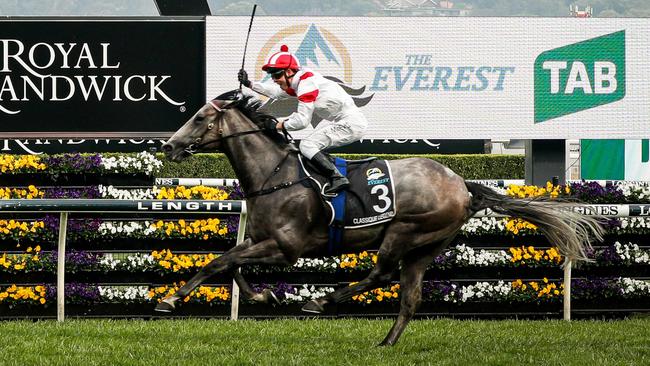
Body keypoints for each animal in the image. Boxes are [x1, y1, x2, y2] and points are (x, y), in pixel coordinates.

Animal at [156, 90, 604, 344]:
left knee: (382, 275)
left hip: (405, 231)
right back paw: (386, 343)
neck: (276, 174)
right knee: (410, 297)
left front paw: (169, 299)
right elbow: (227, 264)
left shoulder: (286, 247)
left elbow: (221, 262)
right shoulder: (259, 239)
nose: (169, 146)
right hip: (428, 246)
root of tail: (461, 183)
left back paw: (321, 301)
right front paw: (259, 296)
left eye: (200, 118)